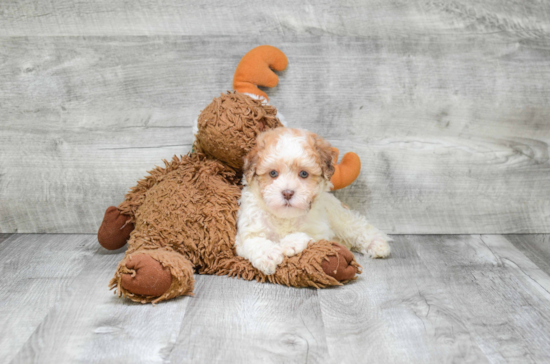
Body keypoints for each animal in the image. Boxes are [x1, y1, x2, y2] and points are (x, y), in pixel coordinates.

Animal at [237, 126, 392, 274]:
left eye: (304, 174)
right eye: (273, 173)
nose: (287, 193)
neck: (285, 217)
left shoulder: (320, 230)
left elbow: (309, 235)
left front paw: (291, 242)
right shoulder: (249, 229)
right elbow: (254, 240)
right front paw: (268, 255)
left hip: (339, 217)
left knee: (358, 226)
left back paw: (378, 244)